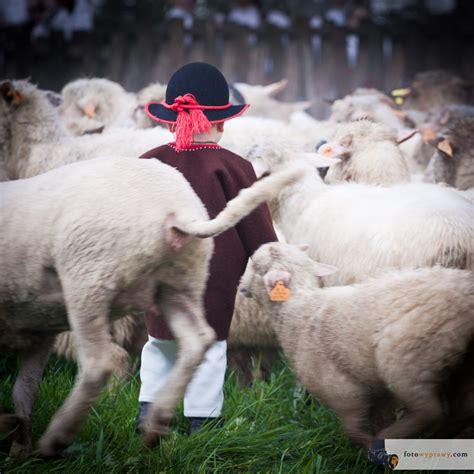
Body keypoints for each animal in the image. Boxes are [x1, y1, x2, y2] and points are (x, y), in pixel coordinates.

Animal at [0, 155, 304, 456]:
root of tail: (174, 209)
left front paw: (16, 434)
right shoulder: (39, 331)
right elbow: (24, 390)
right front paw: (19, 444)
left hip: (87, 280)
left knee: (100, 362)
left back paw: (57, 437)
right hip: (177, 285)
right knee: (198, 341)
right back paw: (155, 424)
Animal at [239, 243, 474, 446]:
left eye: (256, 266)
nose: (239, 285)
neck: (299, 310)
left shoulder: (344, 392)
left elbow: (353, 431)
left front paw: (371, 446)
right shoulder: (377, 394)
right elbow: (377, 418)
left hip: (406, 359)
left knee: (430, 411)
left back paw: (389, 440)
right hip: (460, 369)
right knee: (460, 412)